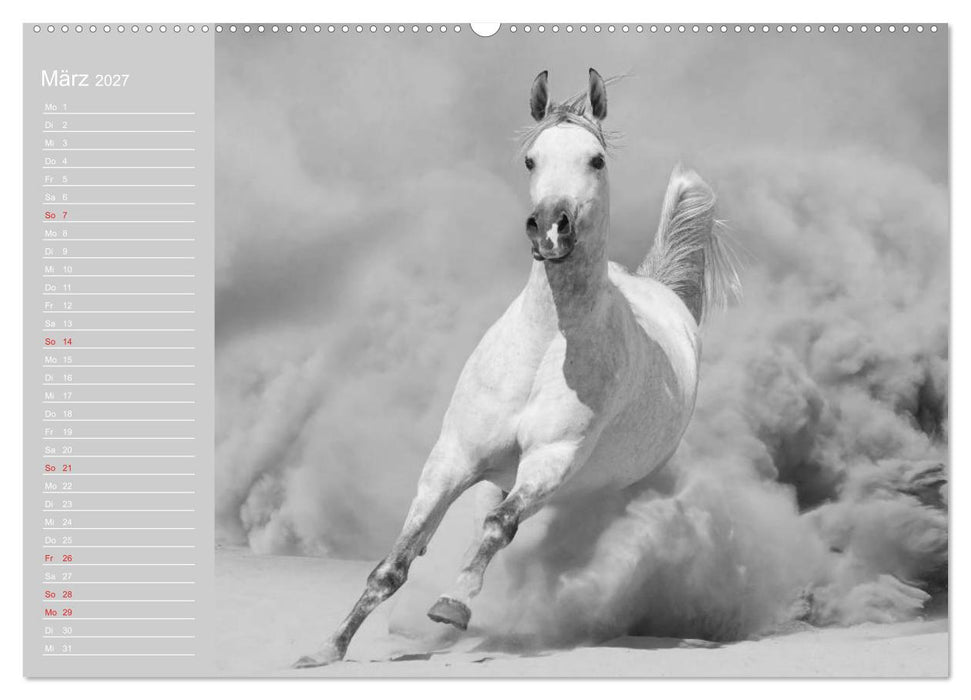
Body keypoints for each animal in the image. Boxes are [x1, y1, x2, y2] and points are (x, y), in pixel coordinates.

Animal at [294, 68, 740, 668]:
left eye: (596, 159)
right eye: (531, 159)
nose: (550, 227)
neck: (544, 349)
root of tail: (662, 290)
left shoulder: (551, 460)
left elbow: (498, 525)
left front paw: (453, 603)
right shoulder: (452, 459)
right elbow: (396, 561)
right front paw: (327, 647)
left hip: (603, 485)